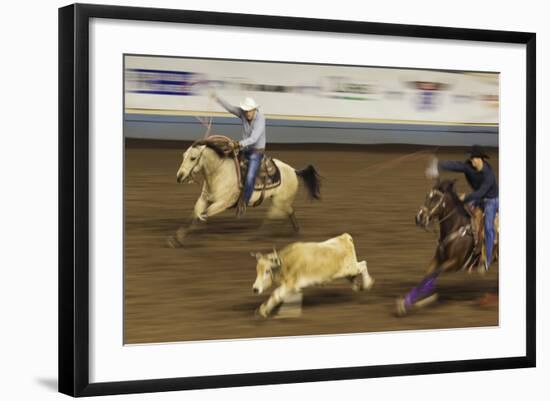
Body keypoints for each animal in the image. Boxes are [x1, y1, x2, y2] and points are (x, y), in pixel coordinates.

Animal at [168, 135, 324, 247]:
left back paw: (255, 236)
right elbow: (196, 214)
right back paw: (297, 231)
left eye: (193, 158)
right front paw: (177, 238)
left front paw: (187, 236)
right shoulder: (204, 199)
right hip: (283, 201)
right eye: (183, 156)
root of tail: (293, 170)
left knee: (272, 217)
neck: (219, 173)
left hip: (279, 202)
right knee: (290, 212)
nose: (179, 176)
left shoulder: (222, 204)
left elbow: (202, 216)